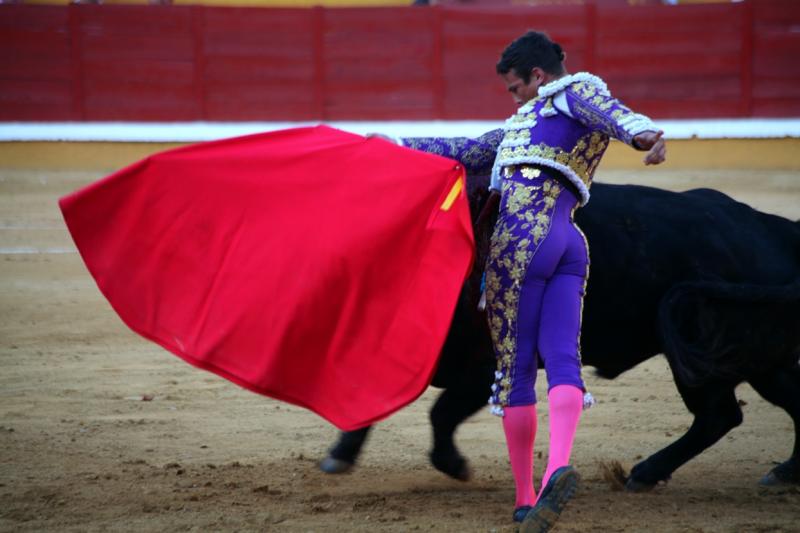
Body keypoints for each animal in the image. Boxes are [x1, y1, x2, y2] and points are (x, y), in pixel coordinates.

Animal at [320, 180, 800, 490]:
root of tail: (770, 227)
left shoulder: (487, 368)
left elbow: (441, 412)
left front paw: (454, 465)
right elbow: (373, 401)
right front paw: (339, 455)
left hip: (722, 355)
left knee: (721, 414)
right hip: (750, 355)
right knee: (738, 413)